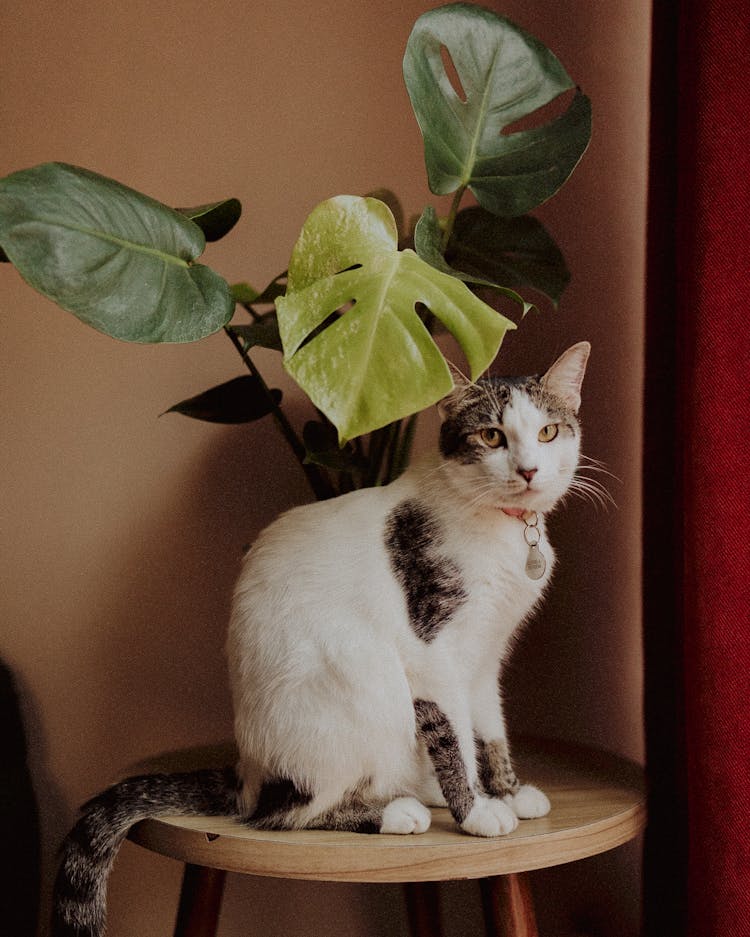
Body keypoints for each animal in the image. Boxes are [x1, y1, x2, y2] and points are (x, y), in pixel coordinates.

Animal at [53, 342, 592, 936]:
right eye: (492, 436)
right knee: (282, 814)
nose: (529, 470)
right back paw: (397, 811)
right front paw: (474, 810)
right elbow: (454, 736)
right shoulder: (432, 652)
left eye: (548, 432)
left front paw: (507, 792)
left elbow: (488, 730)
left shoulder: (485, 655)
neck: (503, 530)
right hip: (366, 677)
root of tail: (247, 772)